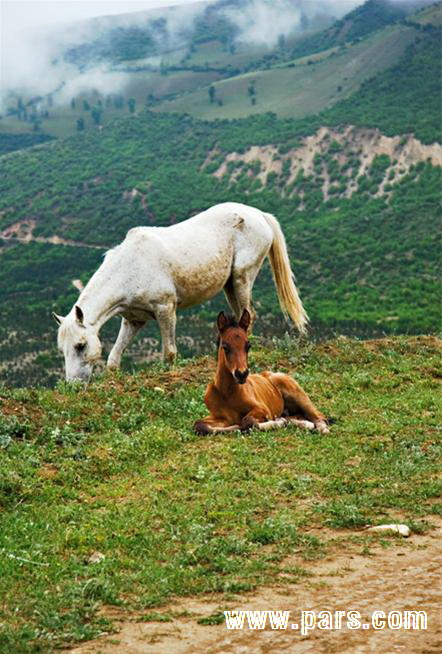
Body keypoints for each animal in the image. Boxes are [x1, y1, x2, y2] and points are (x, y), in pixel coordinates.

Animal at [54, 202, 308, 382]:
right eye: (62, 349)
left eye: (80, 345)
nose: (74, 385)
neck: (130, 267)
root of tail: (259, 214)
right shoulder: (133, 320)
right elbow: (113, 359)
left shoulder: (166, 310)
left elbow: (169, 353)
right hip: (229, 285)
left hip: (241, 278)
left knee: (249, 315)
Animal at [193, 312, 328, 436]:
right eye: (225, 347)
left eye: (248, 346)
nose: (241, 374)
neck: (227, 393)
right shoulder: (219, 417)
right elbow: (199, 425)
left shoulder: (262, 409)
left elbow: (247, 421)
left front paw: (277, 423)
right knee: (295, 417)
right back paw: (302, 423)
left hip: (296, 394)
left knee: (319, 416)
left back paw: (320, 428)